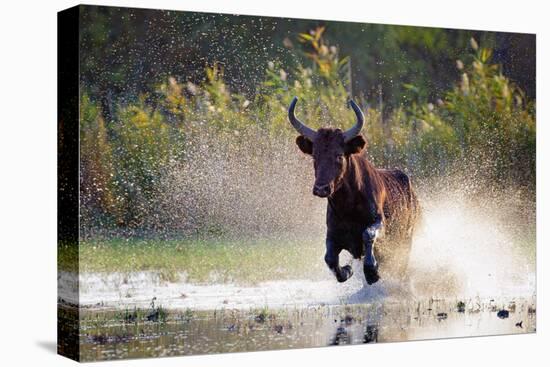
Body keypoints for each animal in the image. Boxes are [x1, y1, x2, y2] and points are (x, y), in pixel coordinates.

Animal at [292, 97, 420, 284]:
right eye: (315, 156)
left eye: (339, 155)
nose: (321, 188)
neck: (348, 207)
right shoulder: (333, 234)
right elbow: (329, 258)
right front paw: (347, 270)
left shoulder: (379, 223)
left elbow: (368, 235)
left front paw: (372, 271)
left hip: (405, 242)